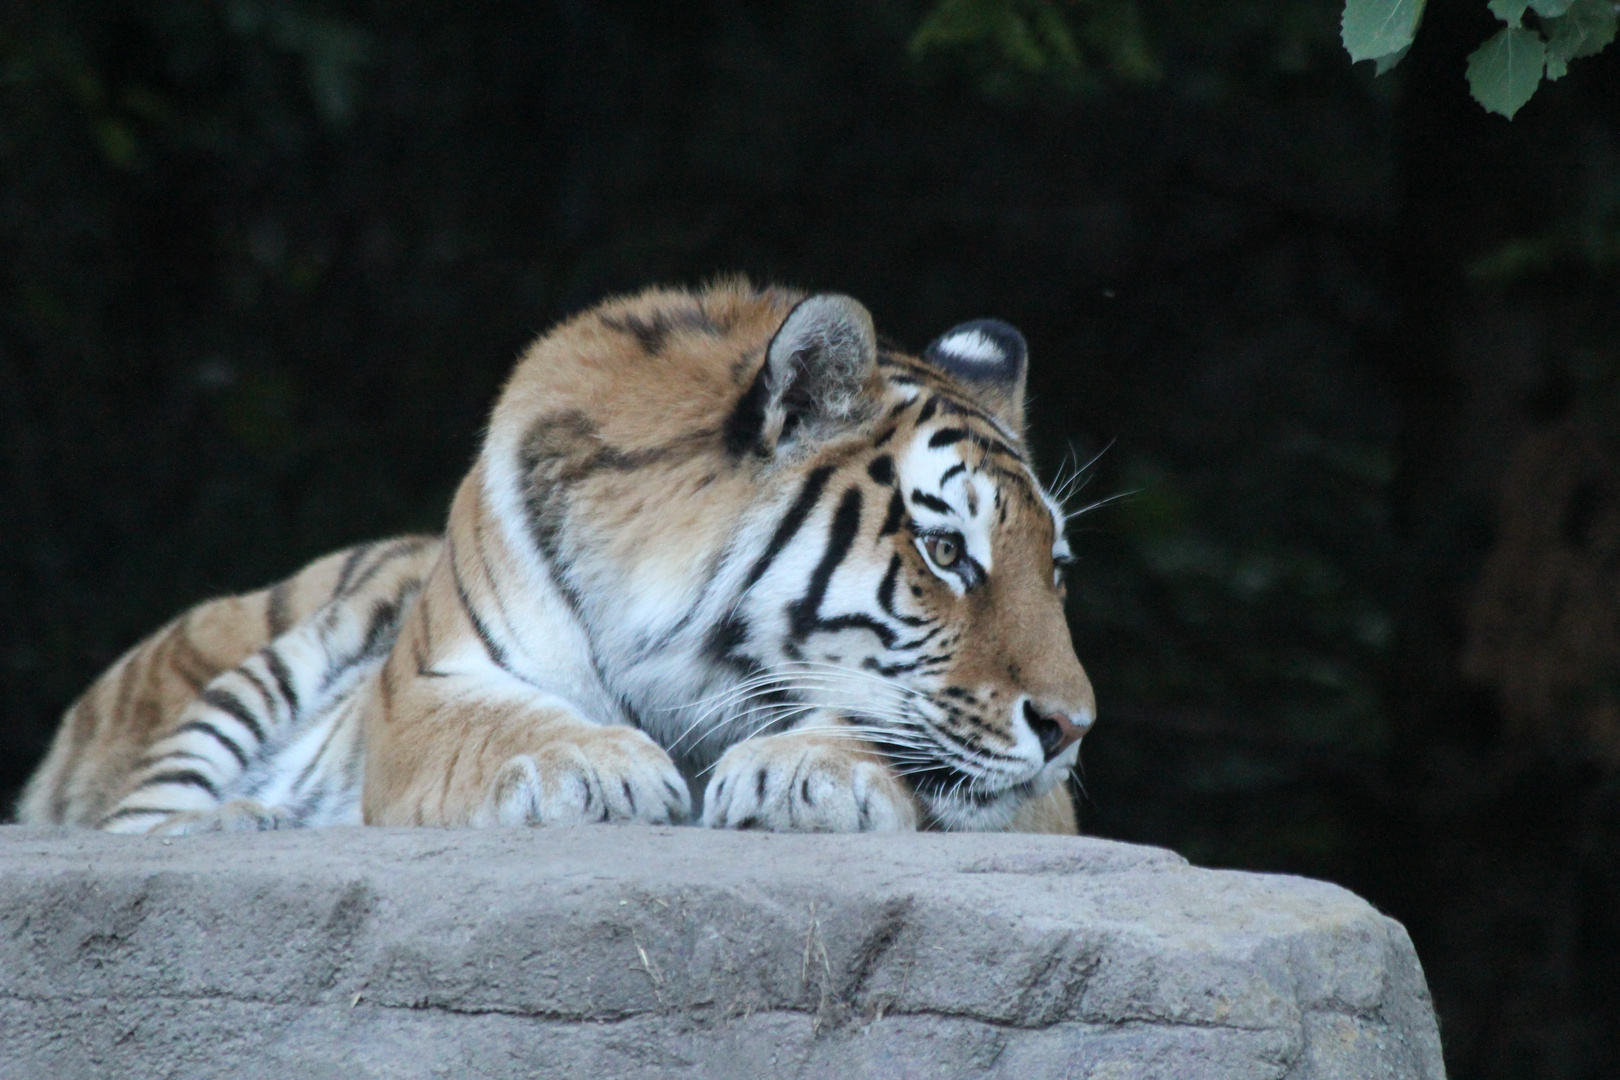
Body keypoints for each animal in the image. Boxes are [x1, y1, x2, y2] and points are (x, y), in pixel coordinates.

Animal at [12, 278, 1095, 835]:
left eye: (1055, 569)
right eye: (946, 551)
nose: (1072, 729)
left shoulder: (1038, 803)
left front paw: (804, 774)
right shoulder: (428, 690)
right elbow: (504, 724)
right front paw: (603, 768)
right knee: (145, 822)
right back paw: (242, 823)